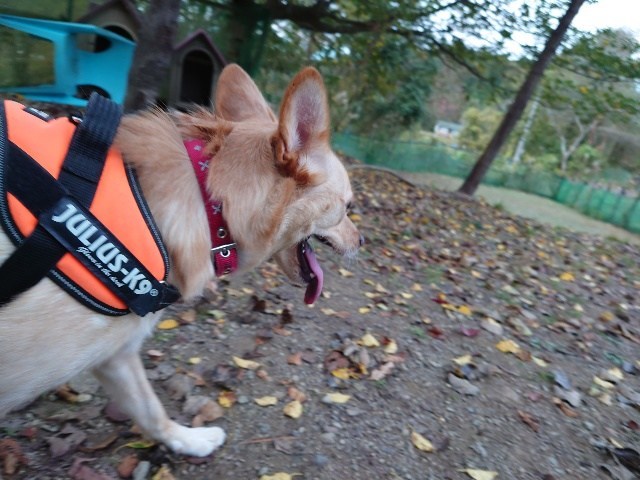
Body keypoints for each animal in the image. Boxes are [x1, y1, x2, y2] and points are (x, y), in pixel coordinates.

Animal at [0, 64, 360, 458]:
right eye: (348, 207)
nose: (361, 240)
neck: (209, 203)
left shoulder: (116, 354)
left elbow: (152, 412)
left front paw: (190, 441)